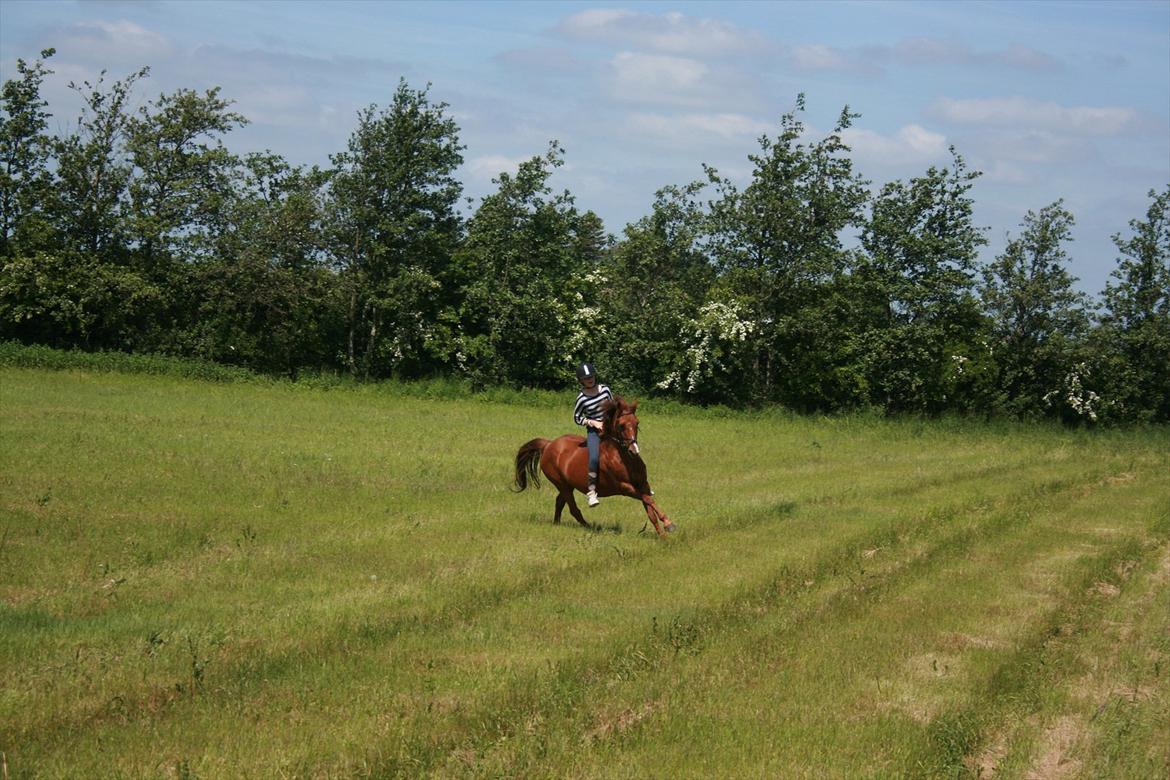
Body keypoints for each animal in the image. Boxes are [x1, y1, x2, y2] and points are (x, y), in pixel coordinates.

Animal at [512, 397, 678, 537]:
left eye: (637, 423)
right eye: (621, 425)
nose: (634, 450)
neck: (624, 459)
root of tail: (548, 445)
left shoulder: (643, 484)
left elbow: (650, 509)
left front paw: (663, 536)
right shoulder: (625, 487)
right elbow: (648, 500)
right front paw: (669, 524)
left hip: (568, 485)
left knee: (560, 502)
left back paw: (557, 524)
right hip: (562, 484)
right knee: (573, 509)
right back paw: (590, 527)